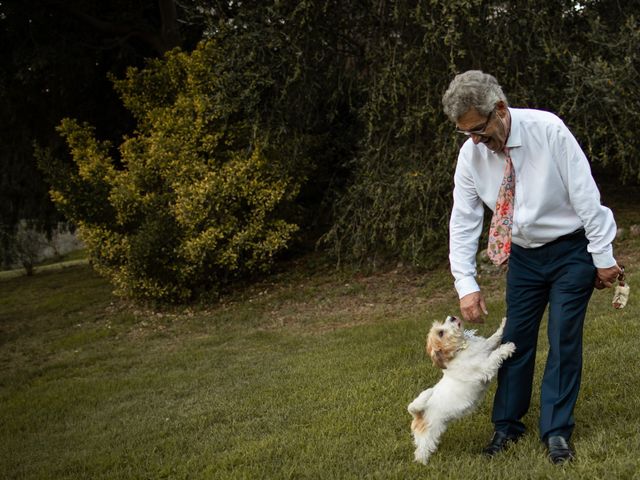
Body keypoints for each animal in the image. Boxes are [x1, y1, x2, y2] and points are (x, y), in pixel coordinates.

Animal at [410, 314, 516, 464]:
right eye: (441, 333)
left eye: (443, 322)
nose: (452, 317)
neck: (461, 349)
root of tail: (418, 414)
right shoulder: (484, 367)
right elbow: (495, 356)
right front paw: (508, 347)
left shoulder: (485, 347)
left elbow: (493, 339)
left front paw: (504, 324)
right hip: (428, 435)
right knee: (421, 451)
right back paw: (423, 463)